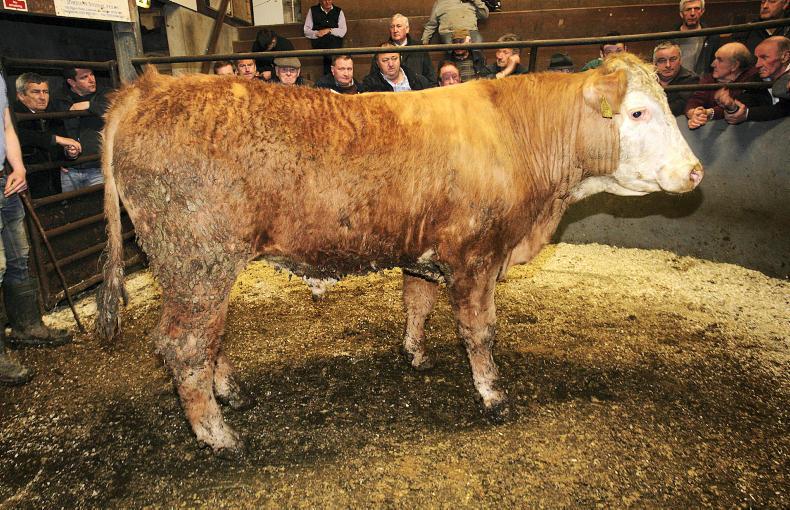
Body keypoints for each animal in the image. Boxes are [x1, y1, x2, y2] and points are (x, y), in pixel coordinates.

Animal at [97, 53, 702, 455]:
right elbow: (479, 331)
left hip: (201, 270)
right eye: (638, 113)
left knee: (209, 339)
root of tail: (148, 86)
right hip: (199, 260)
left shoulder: (426, 251)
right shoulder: (476, 256)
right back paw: (220, 436)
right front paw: (493, 396)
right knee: (184, 345)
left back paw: (232, 395)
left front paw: (416, 354)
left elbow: (418, 303)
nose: (696, 170)